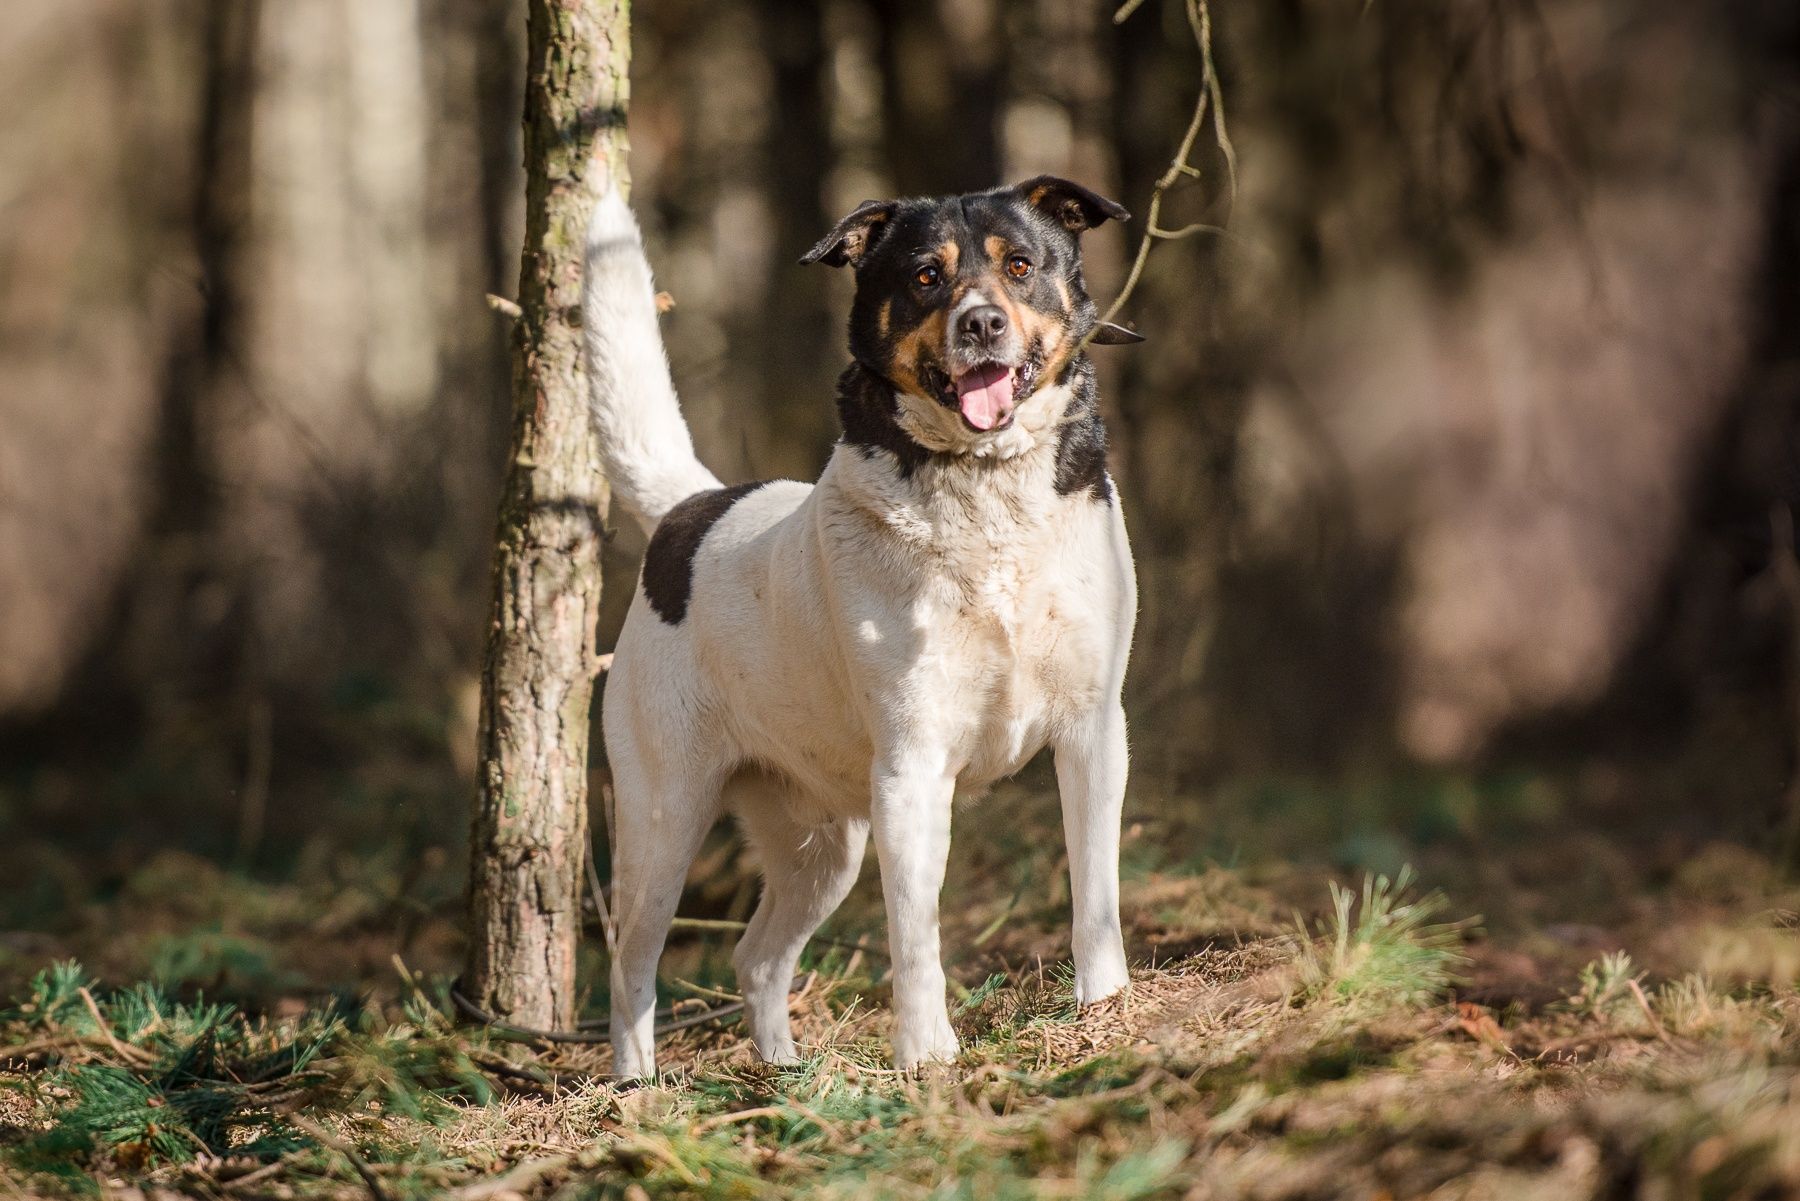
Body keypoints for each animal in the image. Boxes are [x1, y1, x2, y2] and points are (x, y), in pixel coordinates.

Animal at [583, 178, 1137, 1080]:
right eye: (924, 277)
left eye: (1021, 265)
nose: (981, 324)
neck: (988, 493)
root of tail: (687, 510)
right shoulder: (911, 767)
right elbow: (915, 932)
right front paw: (926, 1057)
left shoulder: (1093, 730)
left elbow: (1096, 888)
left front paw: (1104, 1009)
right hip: (666, 816)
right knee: (631, 961)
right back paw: (637, 1088)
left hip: (821, 846)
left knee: (757, 957)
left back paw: (782, 1072)